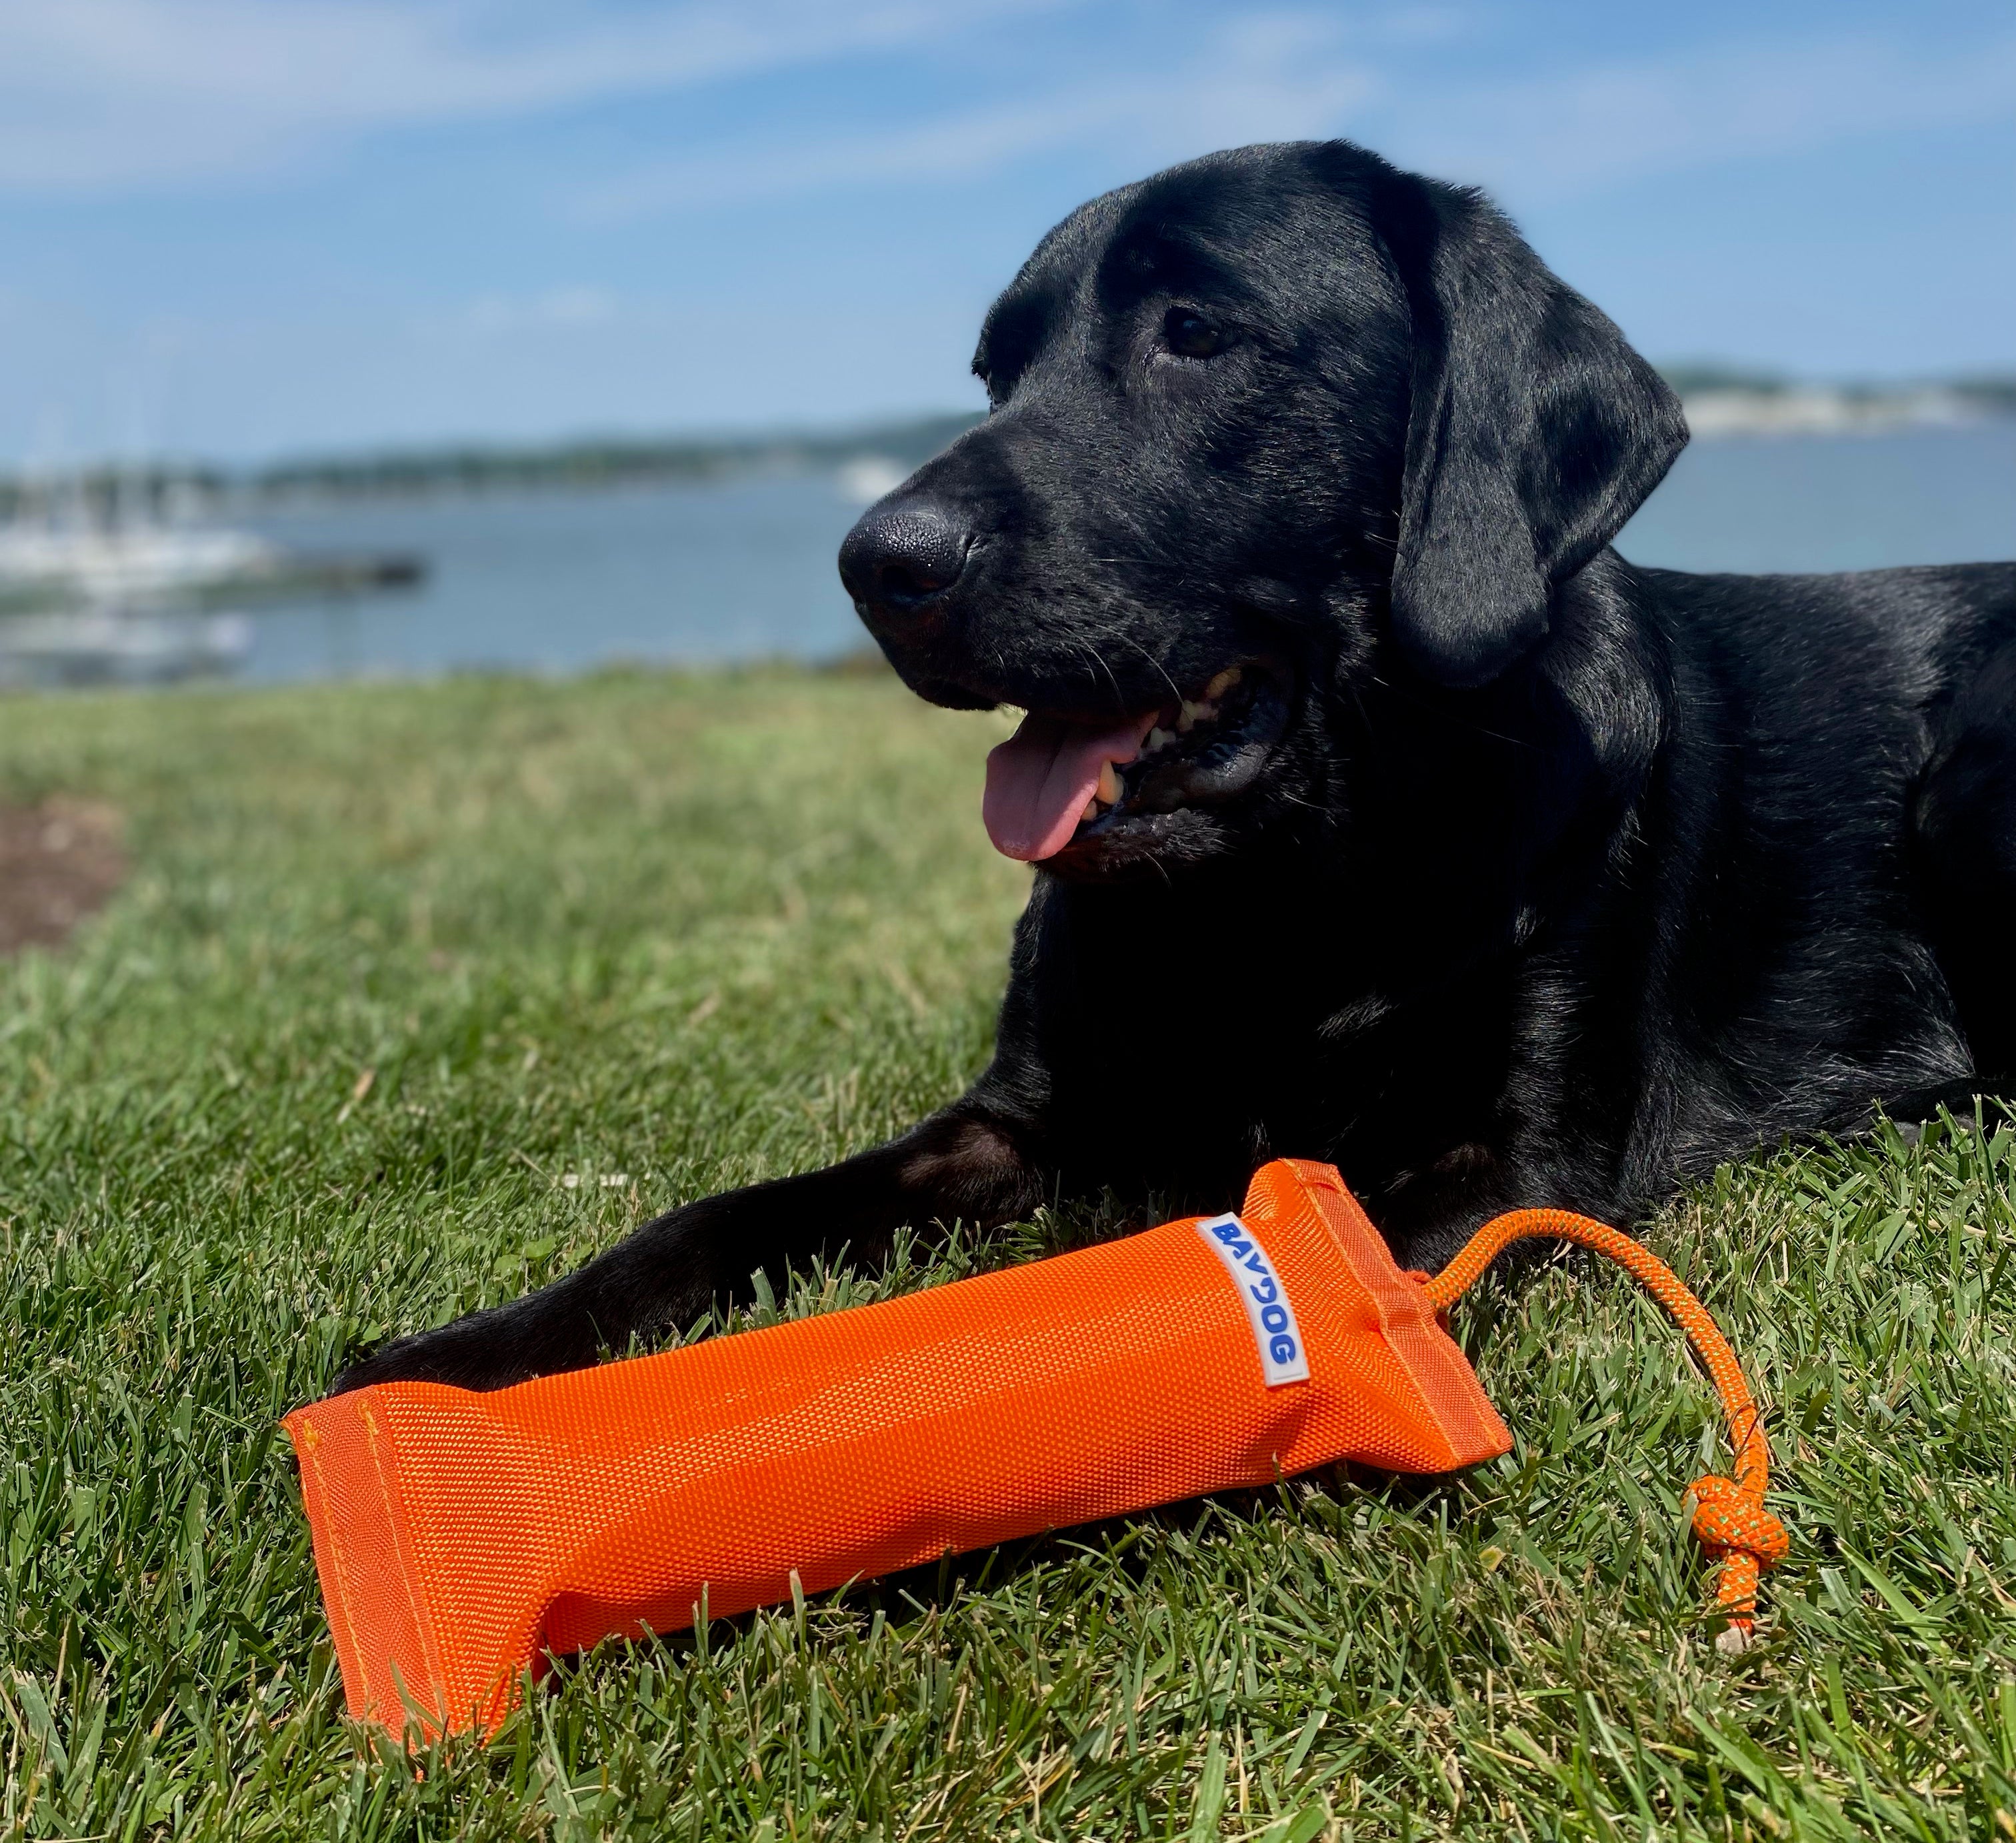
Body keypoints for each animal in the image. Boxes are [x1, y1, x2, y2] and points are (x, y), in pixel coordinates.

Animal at [339, 136, 2007, 1387]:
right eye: (993, 370)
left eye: (1194, 333)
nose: (877, 564)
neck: (1276, 906)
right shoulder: (1017, 1116)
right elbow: (714, 1216)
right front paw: (455, 1362)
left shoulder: (1509, 1153)